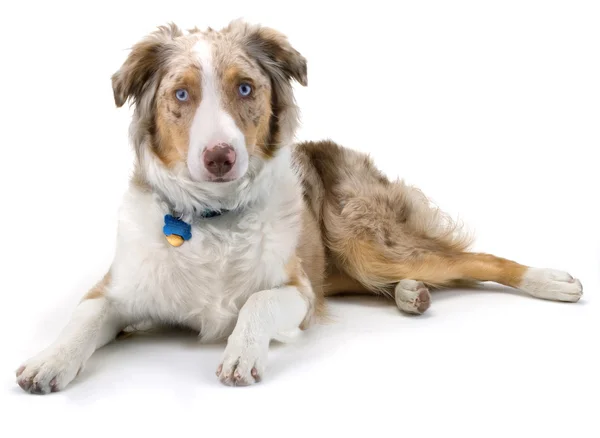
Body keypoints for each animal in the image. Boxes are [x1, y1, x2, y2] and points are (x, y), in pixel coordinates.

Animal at [16, 18, 584, 392]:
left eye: (245, 88)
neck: (216, 219)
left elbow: (257, 303)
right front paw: (49, 361)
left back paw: (549, 280)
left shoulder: (298, 291)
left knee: (474, 261)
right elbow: (84, 316)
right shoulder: (118, 289)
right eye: (180, 95)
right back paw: (410, 294)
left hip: (363, 239)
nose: (220, 157)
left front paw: (241, 353)